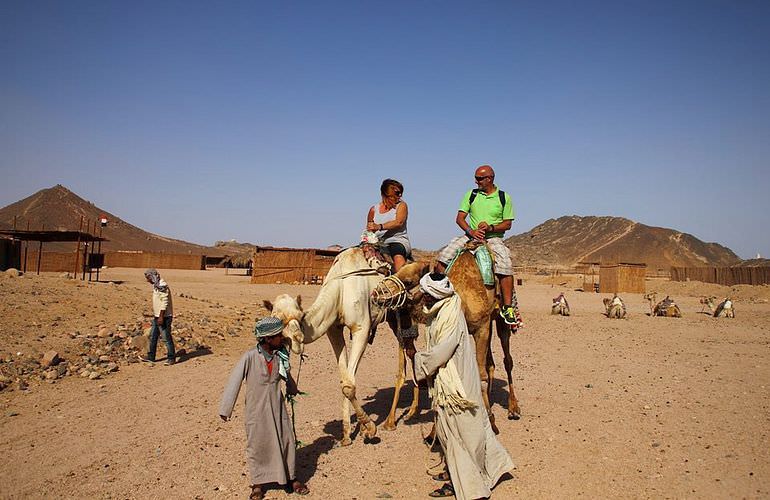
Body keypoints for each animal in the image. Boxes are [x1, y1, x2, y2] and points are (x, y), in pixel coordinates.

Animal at [264, 246, 426, 446]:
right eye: (276, 319)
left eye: (301, 316)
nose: (297, 337)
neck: (340, 290)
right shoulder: (333, 330)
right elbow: (345, 380)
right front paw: (348, 434)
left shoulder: (361, 329)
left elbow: (349, 385)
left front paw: (369, 428)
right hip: (394, 320)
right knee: (411, 352)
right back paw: (408, 412)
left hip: (405, 315)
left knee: (408, 353)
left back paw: (393, 420)